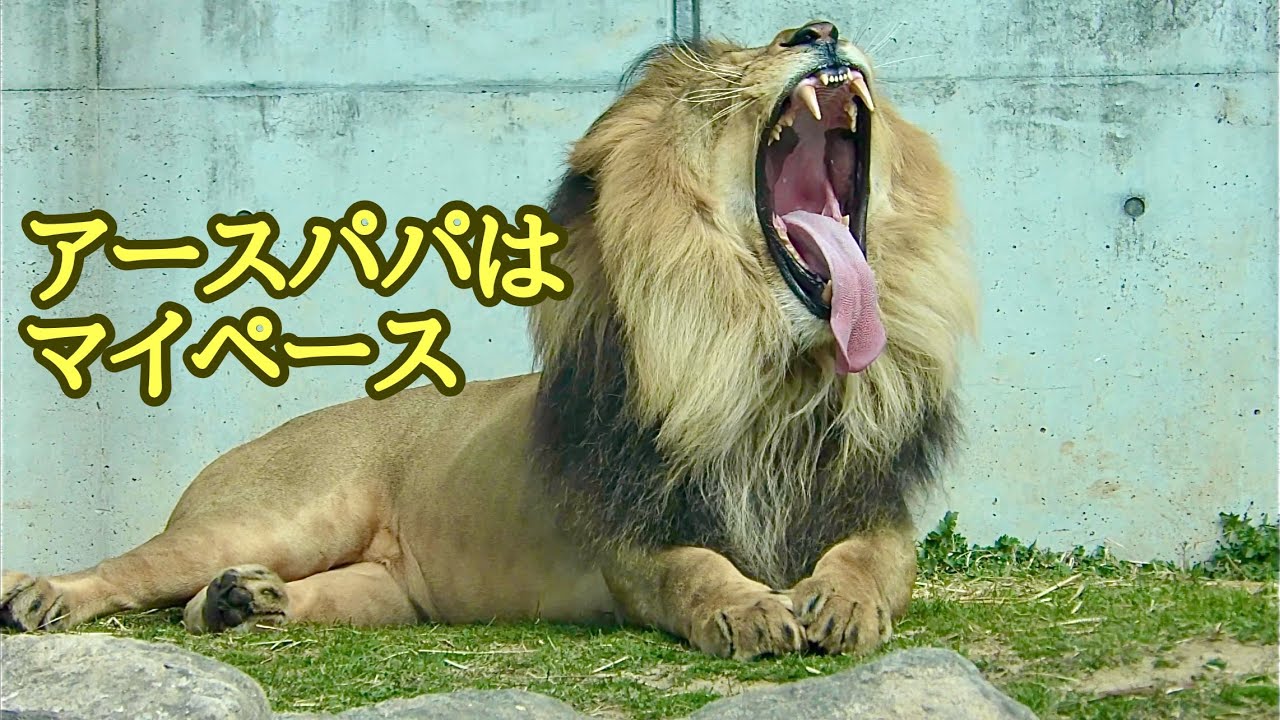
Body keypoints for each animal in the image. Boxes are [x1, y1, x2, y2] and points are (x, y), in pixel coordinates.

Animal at [1, 20, 977, 661]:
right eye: (747, 61)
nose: (821, 30)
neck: (771, 370)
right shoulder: (628, 534)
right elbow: (695, 569)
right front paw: (750, 611)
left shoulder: (870, 501)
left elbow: (876, 558)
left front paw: (839, 603)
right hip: (275, 514)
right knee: (135, 570)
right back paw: (44, 596)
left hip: (378, 593)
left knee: (223, 606)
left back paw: (245, 602)